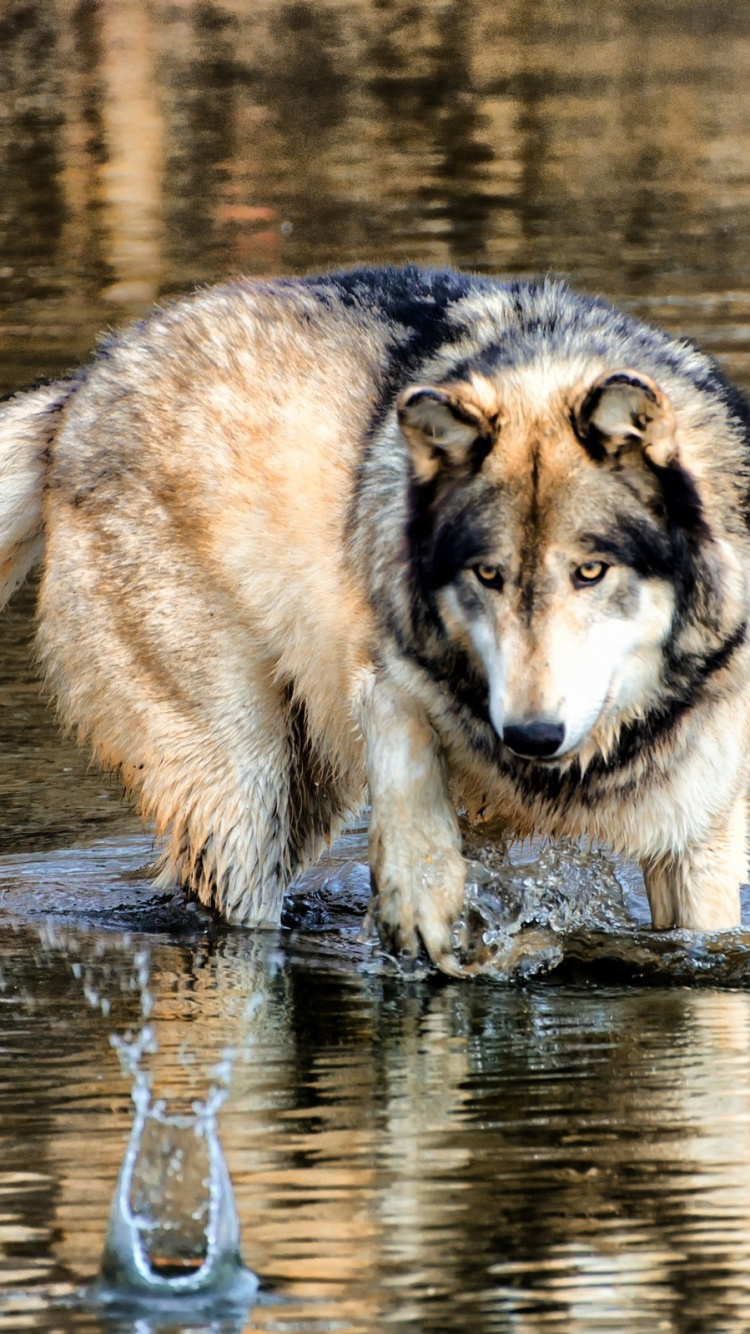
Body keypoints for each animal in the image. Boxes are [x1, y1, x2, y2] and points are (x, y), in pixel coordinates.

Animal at [1, 265, 747, 976]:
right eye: (488, 575)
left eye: (591, 572)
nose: (531, 735)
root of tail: (87, 382)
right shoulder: (381, 669)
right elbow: (407, 761)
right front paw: (422, 903)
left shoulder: (700, 847)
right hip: (245, 791)